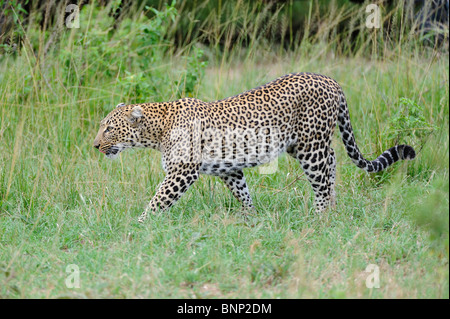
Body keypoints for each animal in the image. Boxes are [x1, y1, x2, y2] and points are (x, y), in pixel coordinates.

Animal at [93, 72, 416, 222]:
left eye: (109, 127)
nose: (95, 145)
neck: (157, 130)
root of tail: (331, 81)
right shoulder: (228, 169)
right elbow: (242, 193)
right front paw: (251, 216)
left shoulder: (181, 172)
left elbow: (158, 199)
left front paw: (140, 223)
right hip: (309, 144)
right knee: (332, 163)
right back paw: (334, 208)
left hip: (310, 146)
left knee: (322, 179)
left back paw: (319, 217)